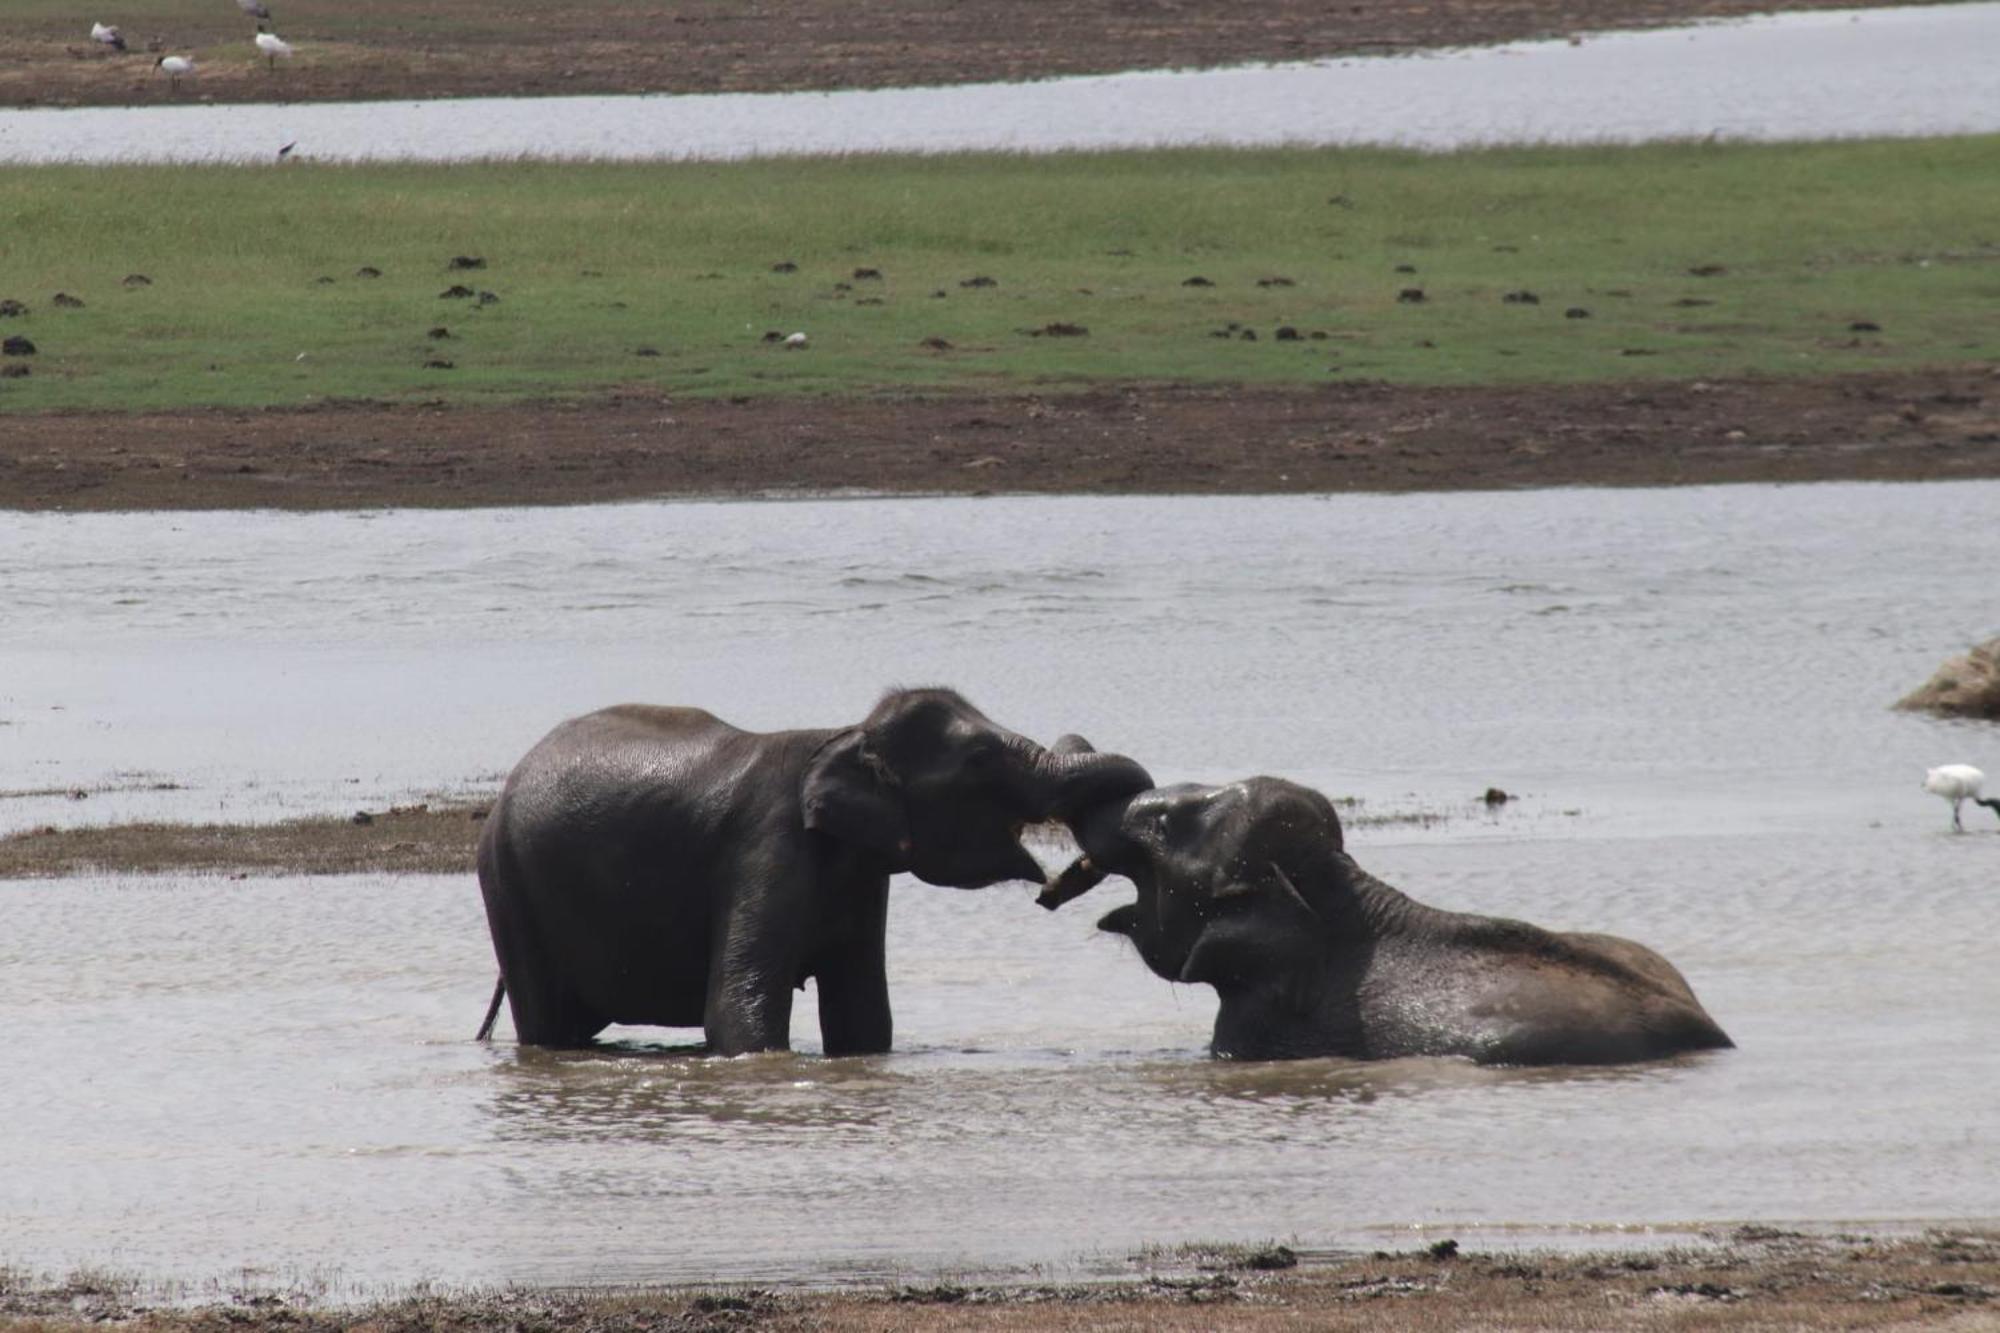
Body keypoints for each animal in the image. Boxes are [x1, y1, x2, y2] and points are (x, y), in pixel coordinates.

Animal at [474, 684, 1152, 1048]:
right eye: (980, 761)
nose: (1058, 887)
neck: (846, 735)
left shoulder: (861, 875)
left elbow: (862, 1015)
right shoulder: (766, 845)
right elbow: (735, 1012)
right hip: (507, 889)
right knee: (546, 1023)